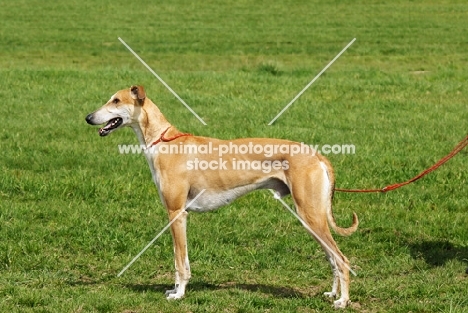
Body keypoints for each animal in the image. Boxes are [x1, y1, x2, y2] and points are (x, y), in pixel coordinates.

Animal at [86, 84, 360, 308]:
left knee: (342, 259)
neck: (164, 142)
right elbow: (180, 260)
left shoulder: (176, 213)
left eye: (116, 100)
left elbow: (180, 262)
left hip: (311, 216)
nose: (88, 118)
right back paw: (332, 294)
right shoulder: (177, 216)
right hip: (311, 220)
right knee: (332, 259)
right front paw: (174, 291)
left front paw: (179, 294)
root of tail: (316, 155)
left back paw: (343, 301)